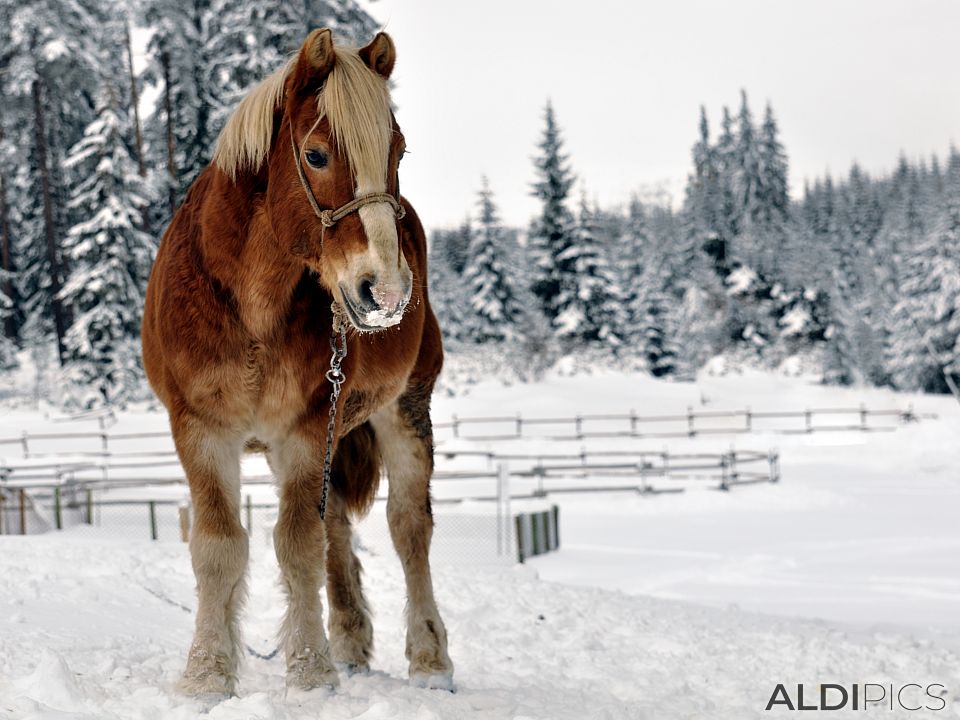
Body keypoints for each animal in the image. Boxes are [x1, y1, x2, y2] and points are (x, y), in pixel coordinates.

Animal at [142, 29, 454, 696]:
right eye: (315, 155)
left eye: (398, 151)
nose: (386, 291)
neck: (252, 304)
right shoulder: (200, 429)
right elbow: (219, 546)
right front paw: (208, 674)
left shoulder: (306, 429)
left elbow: (297, 543)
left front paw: (310, 673)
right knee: (337, 525)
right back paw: (351, 639)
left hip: (405, 408)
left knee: (409, 528)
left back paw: (430, 660)